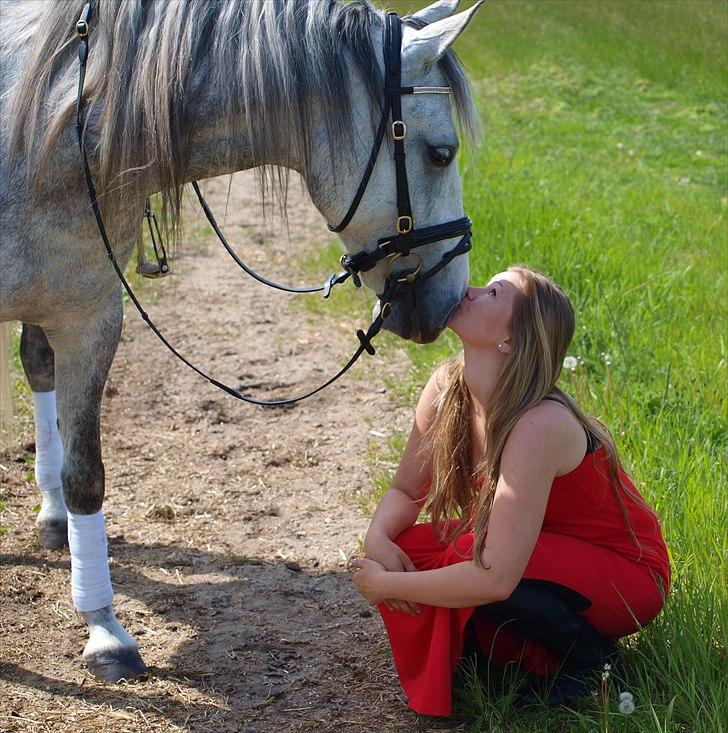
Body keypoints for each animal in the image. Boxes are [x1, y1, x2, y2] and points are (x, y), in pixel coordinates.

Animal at [0, 0, 484, 684]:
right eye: (442, 153)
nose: (451, 298)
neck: (50, 129)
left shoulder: (91, 318)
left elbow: (86, 474)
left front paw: (104, 631)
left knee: (38, 367)